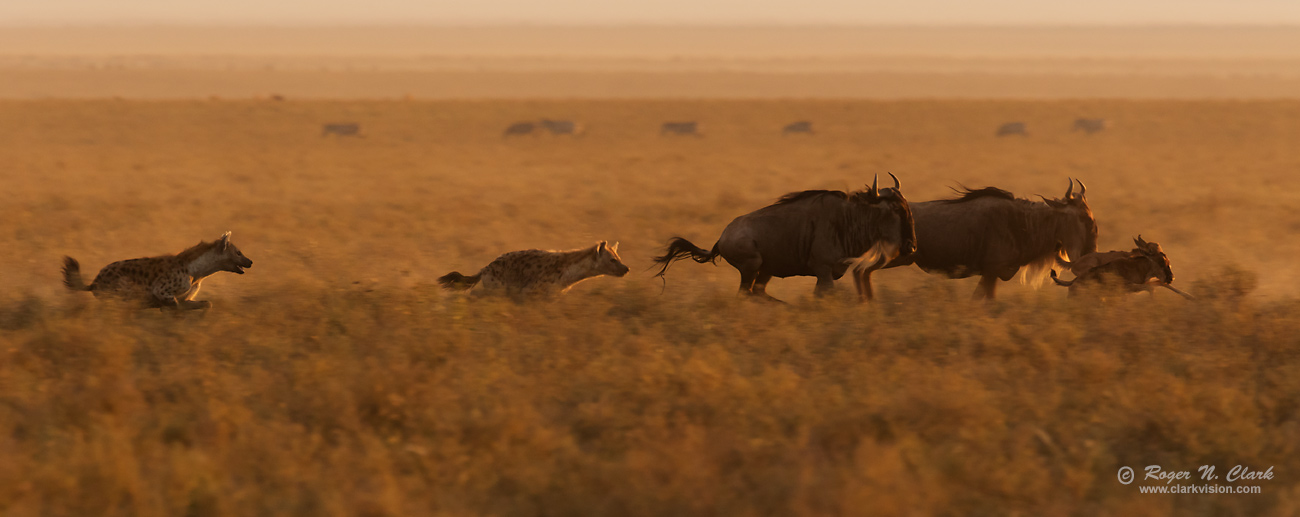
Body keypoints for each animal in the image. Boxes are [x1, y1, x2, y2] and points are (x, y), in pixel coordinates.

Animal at [436, 241, 629, 297]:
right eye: (612, 260)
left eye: (619, 258)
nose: (627, 268)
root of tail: (484, 268)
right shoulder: (529, 291)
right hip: (496, 287)